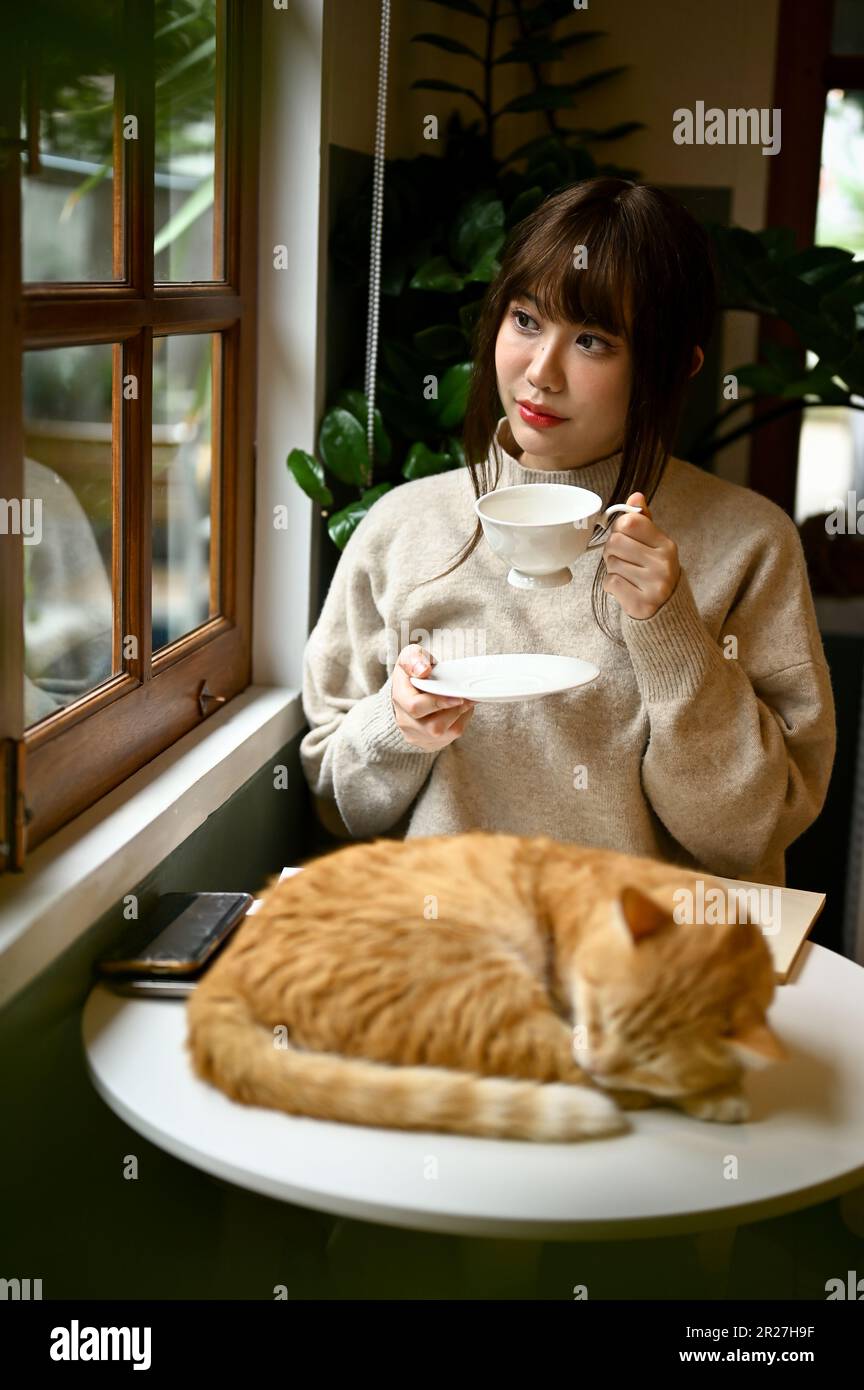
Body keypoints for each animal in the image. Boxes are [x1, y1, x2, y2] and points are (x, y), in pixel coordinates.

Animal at [186, 822, 788, 1139]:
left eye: (650, 1061)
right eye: (596, 1015)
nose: (599, 1059)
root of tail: (226, 966)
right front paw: (718, 1090)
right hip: (482, 991)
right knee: (560, 1069)